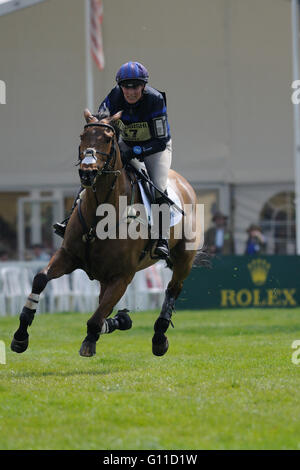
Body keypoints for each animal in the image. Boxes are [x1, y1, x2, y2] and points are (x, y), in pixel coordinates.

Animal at [10, 110, 202, 358]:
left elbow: (96, 317)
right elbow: (41, 279)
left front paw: (89, 341)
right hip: (103, 276)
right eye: (82, 136)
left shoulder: (122, 276)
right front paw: (20, 336)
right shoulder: (68, 256)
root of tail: (184, 183)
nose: (87, 172)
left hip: (183, 258)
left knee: (172, 289)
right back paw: (122, 320)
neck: (100, 214)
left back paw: (159, 337)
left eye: (108, 139)